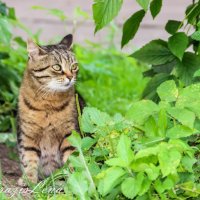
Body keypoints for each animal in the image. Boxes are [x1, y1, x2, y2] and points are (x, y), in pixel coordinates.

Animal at [16, 34, 79, 186]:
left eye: (74, 66)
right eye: (57, 67)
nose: (70, 77)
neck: (48, 104)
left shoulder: (70, 134)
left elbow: (73, 156)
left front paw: (76, 177)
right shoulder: (28, 135)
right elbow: (28, 158)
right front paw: (28, 178)